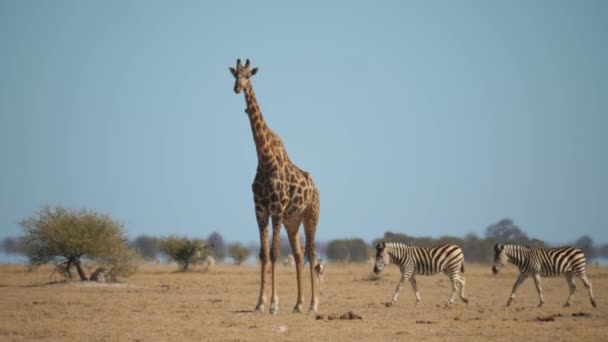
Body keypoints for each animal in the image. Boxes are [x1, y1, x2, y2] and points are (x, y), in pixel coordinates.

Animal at [230, 57, 320, 314]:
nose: (237, 88)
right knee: (299, 254)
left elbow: (274, 252)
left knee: (311, 252)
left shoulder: (277, 209)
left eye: (248, 75)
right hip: (293, 221)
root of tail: (316, 189)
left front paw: (273, 304)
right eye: (234, 75)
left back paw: (313, 305)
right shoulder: (260, 209)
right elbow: (263, 254)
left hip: (310, 215)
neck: (265, 158)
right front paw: (260, 303)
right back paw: (298, 304)